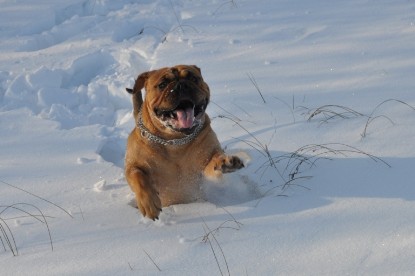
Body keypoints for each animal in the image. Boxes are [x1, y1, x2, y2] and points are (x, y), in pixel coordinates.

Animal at [125, 64, 245, 220]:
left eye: (193, 78)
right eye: (162, 84)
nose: (181, 85)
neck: (175, 142)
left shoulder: (206, 161)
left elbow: (213, 162)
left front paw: (226, 163)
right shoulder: (134, 165)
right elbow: (137, 176)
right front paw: (149, 203)